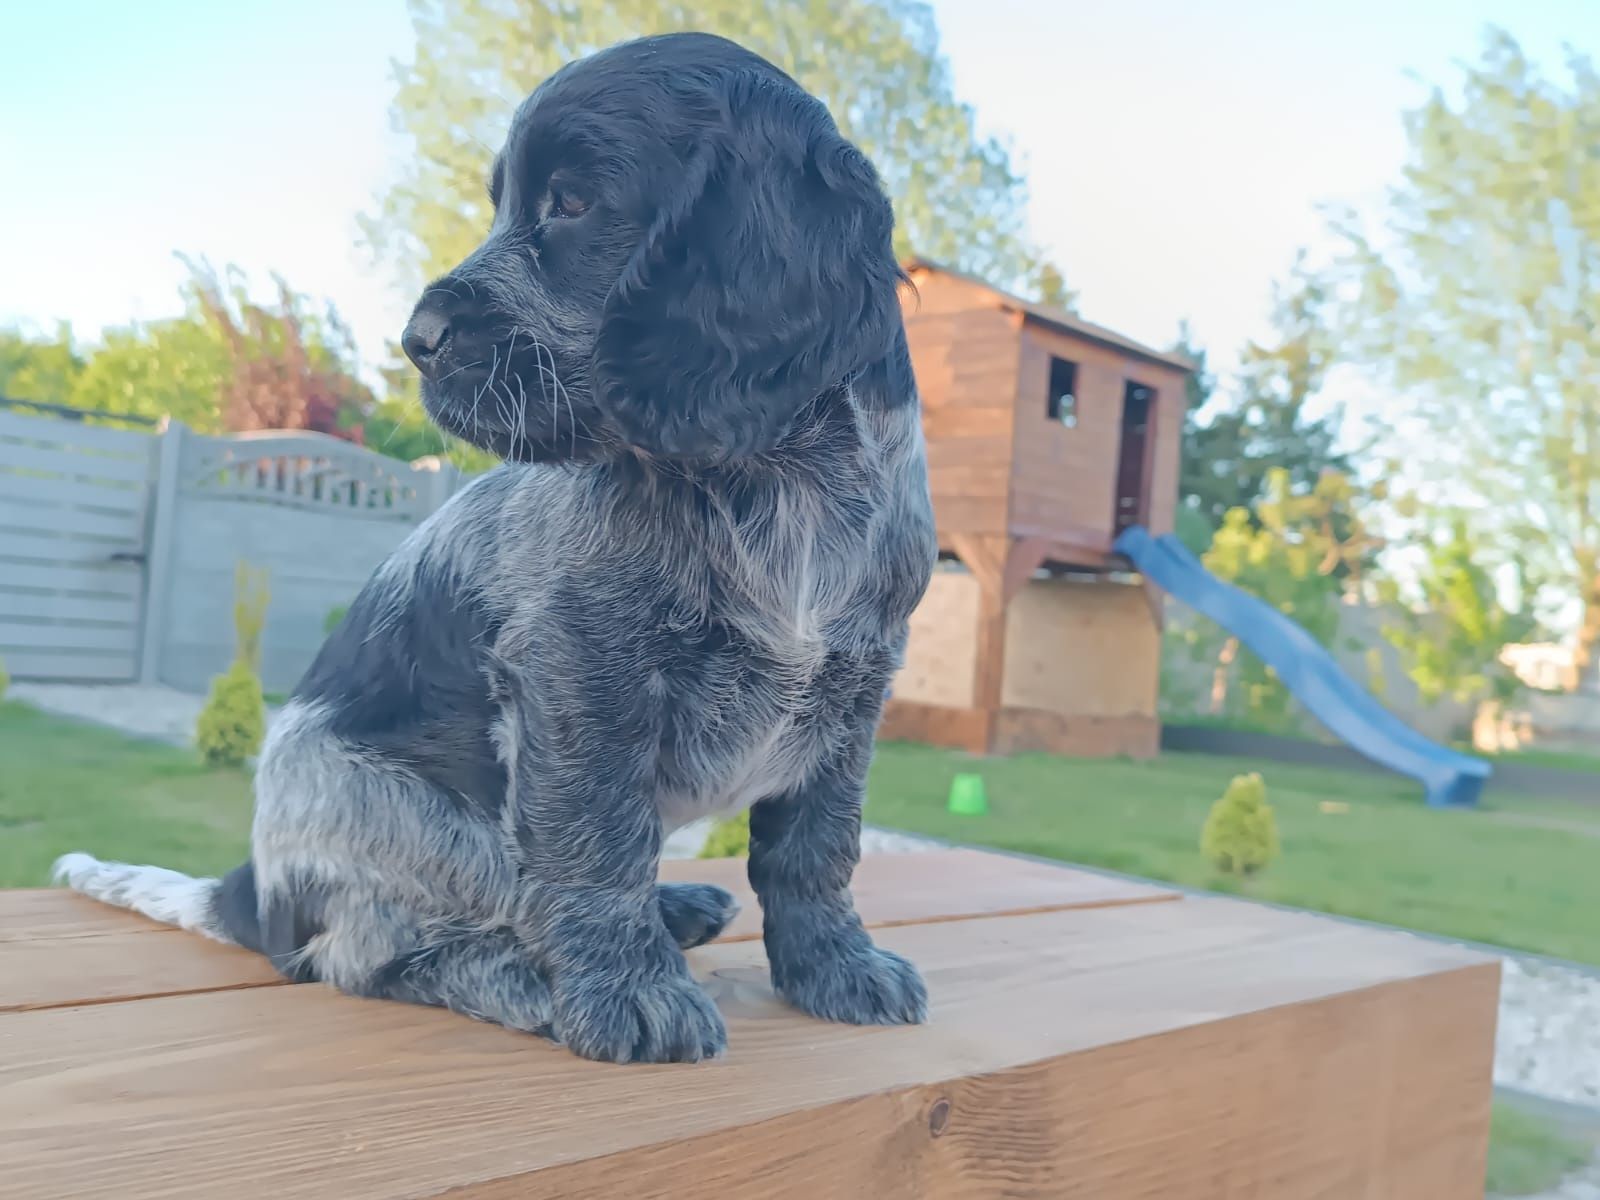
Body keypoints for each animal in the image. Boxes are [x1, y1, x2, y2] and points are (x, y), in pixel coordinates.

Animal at [56, 28, 934, 1068]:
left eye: (574, 202)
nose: (415, 339)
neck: (769, 477)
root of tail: (250, 890)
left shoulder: (855, 685)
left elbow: (816, 848)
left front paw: (835, 967)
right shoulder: (580, 670)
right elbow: (597, 844)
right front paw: (633, 996)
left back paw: (673, 908)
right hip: (416, 826)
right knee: (379, 953)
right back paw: (537, 983)